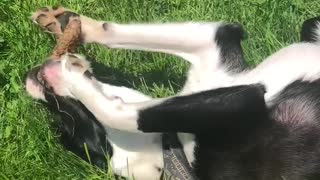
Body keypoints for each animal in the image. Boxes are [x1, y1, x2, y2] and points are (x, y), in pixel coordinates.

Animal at [25, 7, 320, 180]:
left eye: (68, 127)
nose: (28, 80)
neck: (172, 150)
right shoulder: (242, 99)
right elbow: (124, 113)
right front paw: (71, 60)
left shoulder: (217, 49)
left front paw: (69, 28)